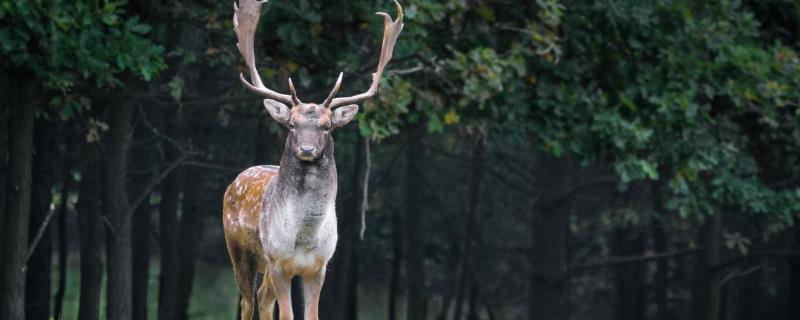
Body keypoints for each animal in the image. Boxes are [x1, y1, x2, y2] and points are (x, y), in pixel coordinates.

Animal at [222, 0, 404, 318]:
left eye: (327, 126)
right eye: (291, 125)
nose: (307, 149)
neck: (304, 238)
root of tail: (234, 182)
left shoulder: (318, 268)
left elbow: (310, 314)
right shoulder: (278, 261)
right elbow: (287, 313)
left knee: (263, 297)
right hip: (240, 249)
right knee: (247, 300)